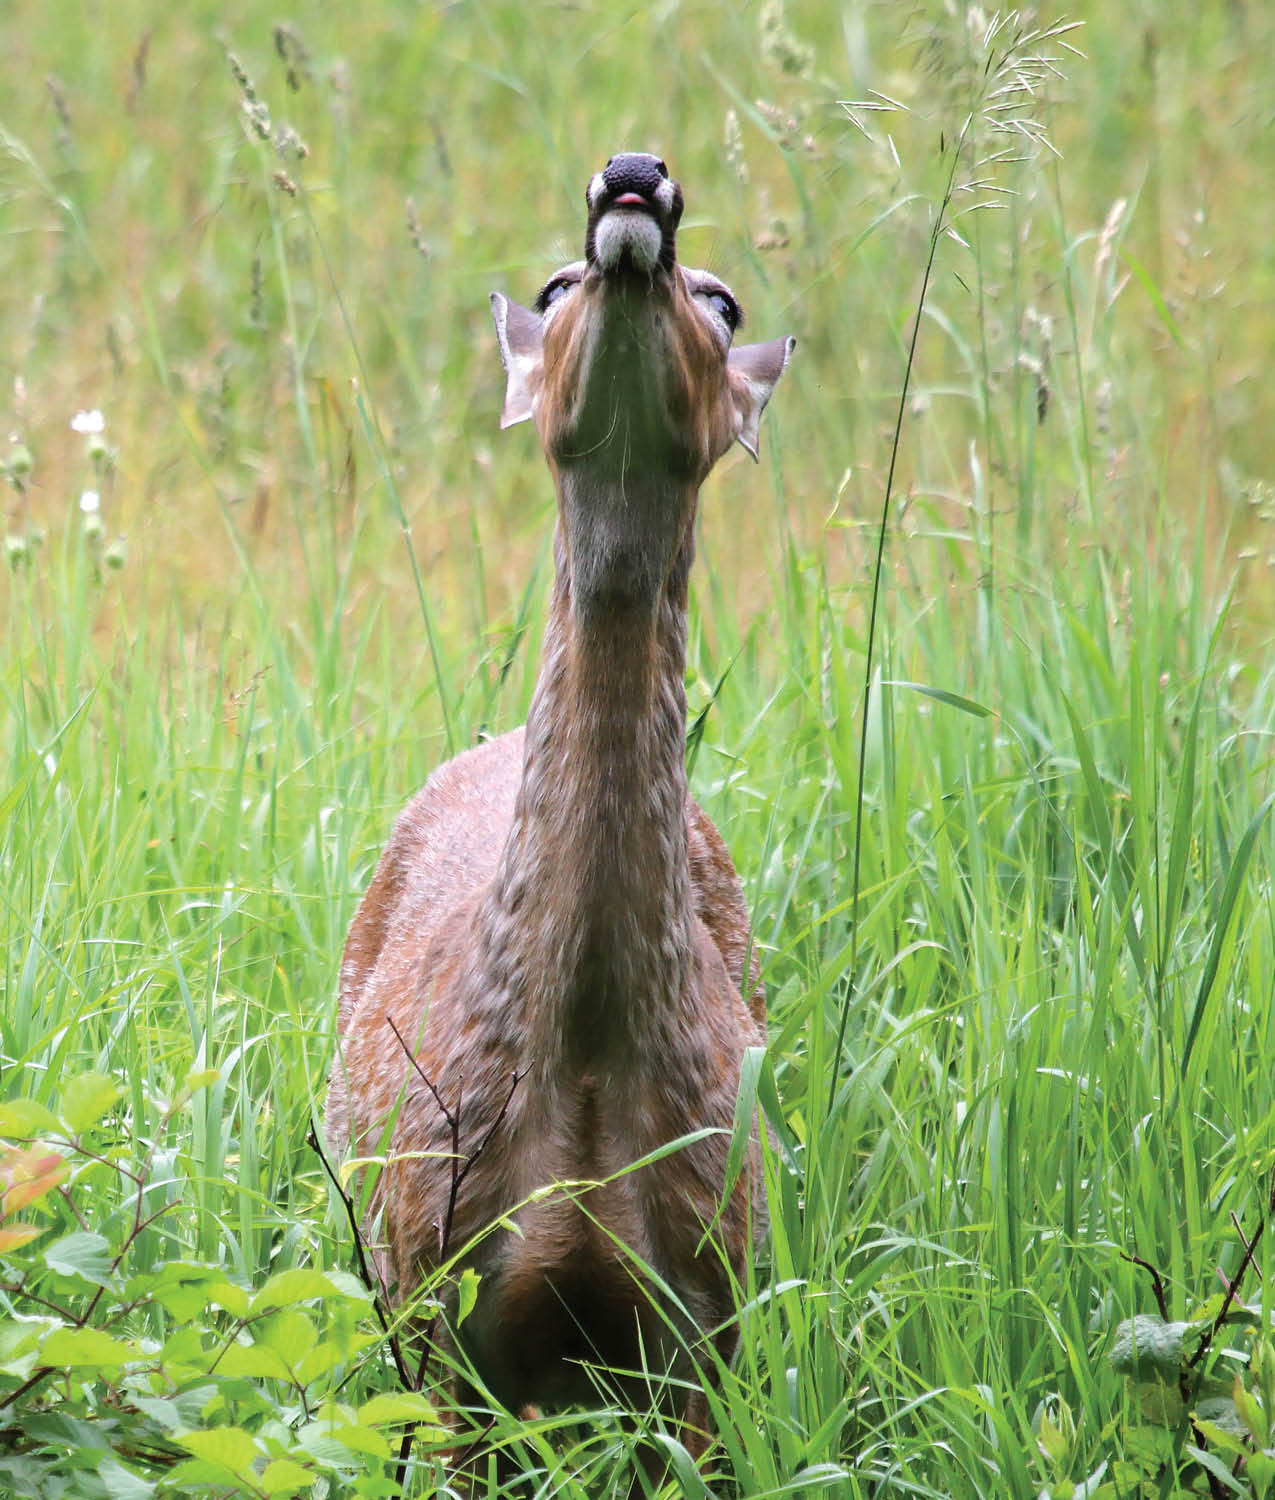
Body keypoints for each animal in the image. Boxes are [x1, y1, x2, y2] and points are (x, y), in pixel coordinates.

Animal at [322, 152, 792, 1488]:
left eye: (726, 299)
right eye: (551, 283)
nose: (633, 180)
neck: (582, 1072)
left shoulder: (710, 1300)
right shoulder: (435, 1290)